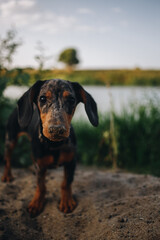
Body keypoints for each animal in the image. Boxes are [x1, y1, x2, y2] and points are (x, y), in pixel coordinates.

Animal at [0, 79, 99, 218]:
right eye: (42, 98)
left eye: (71, 99)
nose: (57, 129)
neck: (54, 145)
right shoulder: (40, 165)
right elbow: (41, 186)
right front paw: (36, 203)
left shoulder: (71, 162)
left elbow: (66, 182)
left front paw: (66, 201)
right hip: (11, 139)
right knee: (7, 158)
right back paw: (7, 175)